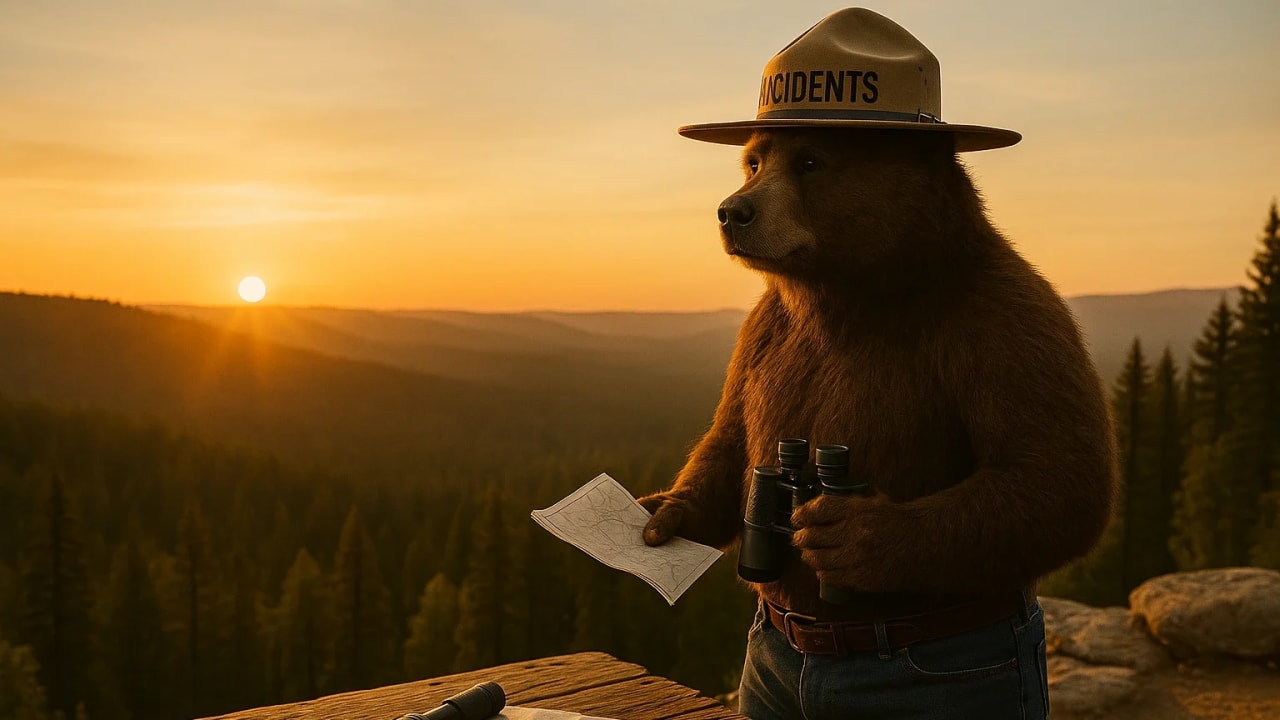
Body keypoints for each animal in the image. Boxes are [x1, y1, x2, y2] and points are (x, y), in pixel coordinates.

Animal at [638, 127, 1116, 620]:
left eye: (809, 162)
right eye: (754, 163)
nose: (733, 211)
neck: (853, 295)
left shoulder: (1006, 321)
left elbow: (1055, 477)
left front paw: (859, 541)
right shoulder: (760, 335)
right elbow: (732, 436)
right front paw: (666, 514)